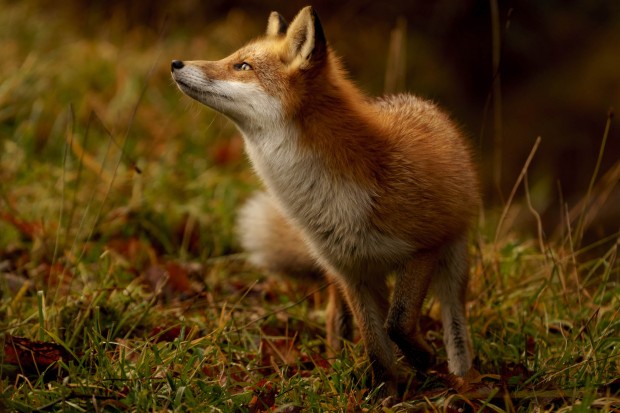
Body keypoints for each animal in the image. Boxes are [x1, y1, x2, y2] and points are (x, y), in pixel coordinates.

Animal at [172, 5, 482, 396]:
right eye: (234, 59)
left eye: (242, 66)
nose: (176, 62)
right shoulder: (350, 272)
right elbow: (377, 349)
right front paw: (387, 395)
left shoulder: (424, 249)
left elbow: (397, 324)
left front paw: (422, 360)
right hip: (344, 277)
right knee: (339, 320)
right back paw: (339, 362)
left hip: (452, 260)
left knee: (455, 323)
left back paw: (463, 378)